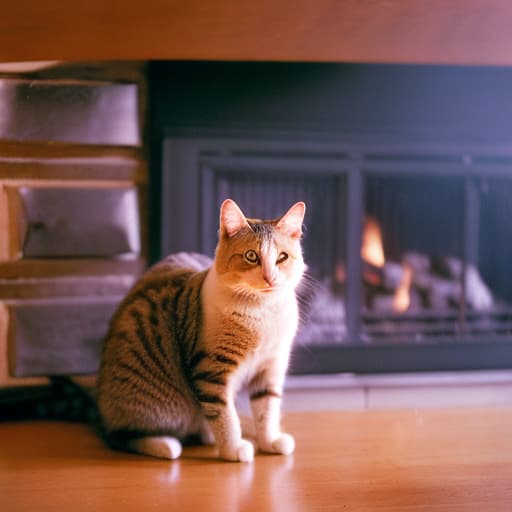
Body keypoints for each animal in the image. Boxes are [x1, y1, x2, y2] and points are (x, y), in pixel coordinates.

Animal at [96, 198, 306, 462]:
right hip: (148, 402)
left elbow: (266, 408)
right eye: (251, 256)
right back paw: (165, 444)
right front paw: (233, 450)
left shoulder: (271, 366)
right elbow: (224, 414)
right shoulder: (212, 370)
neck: (262, 312)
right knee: (119, 436)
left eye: (282, 257)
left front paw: (269, 442)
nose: (270, 278)